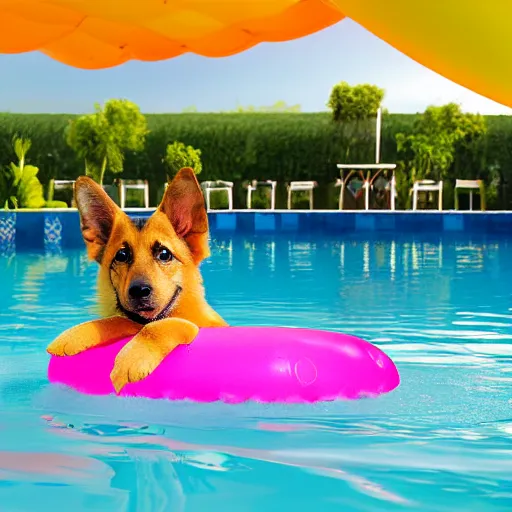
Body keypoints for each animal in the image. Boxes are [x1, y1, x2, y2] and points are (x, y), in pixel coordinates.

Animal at [48, 168, 228, 392]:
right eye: (122, 255)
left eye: (164, 254)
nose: (139, 291)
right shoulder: (128, 318)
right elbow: (116, 319)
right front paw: (79, 333)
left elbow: (164, 325)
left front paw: (133, 357)